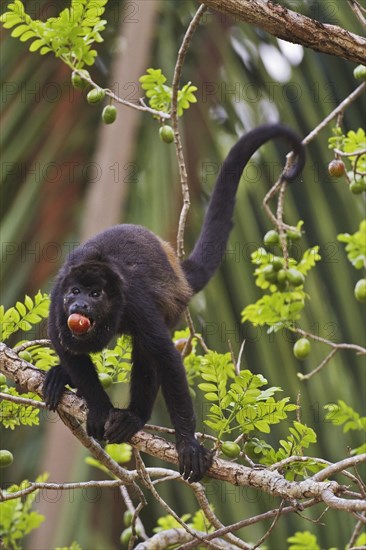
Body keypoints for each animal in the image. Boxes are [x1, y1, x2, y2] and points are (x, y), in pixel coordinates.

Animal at [44, 124, 304, 484]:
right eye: (75, 291)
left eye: (95, 295)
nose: (79, 307)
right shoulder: (57, 299)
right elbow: (64, 344)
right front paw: (97, 406)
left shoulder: (135, 301)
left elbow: (165, 359)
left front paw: (187, 444)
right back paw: (60, 378)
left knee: (146, 352)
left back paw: (134, 417)